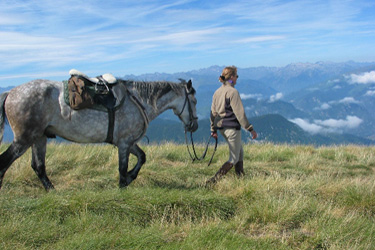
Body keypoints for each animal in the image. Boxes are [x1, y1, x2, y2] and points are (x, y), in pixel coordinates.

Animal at [0, 77, 198, 190]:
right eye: (194, 101)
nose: (194, 126)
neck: (139, 101)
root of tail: (10, 93)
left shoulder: (128, 142)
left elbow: (142, 157)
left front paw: (130, 178)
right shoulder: (124, 143)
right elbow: (122, 167)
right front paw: (123, 184)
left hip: (39, 138)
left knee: (39, 166)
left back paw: (52, 190)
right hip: (24, 139)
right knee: (5, 162)